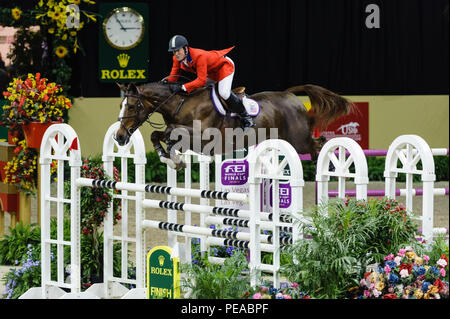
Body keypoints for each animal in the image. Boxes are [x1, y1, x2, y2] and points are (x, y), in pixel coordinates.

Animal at [115, 80, 356, 170]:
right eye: (121, 104)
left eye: (131, 106)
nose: (119, 137)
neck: (181, 105)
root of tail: (290, 96)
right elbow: (159, 135)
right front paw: (169, 158)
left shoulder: (204, 138)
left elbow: (174, 133)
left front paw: (174, 158)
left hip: (298, 140)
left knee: (318, 143)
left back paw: (324, 166)